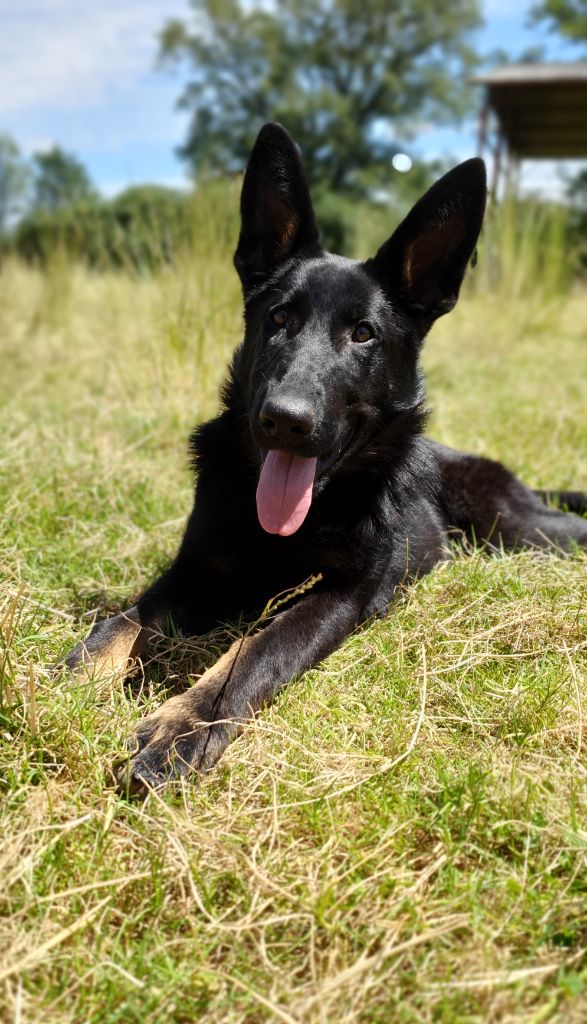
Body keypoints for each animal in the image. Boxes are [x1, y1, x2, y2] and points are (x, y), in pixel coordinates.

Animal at [65, 119, 585, 790]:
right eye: (279, 318)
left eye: (364, 333)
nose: (285, 420)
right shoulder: (192, 572)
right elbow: (122, 624)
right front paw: (66, 677)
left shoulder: (344, 595)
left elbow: (256, 650)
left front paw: (183, 725)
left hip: (520, 528)